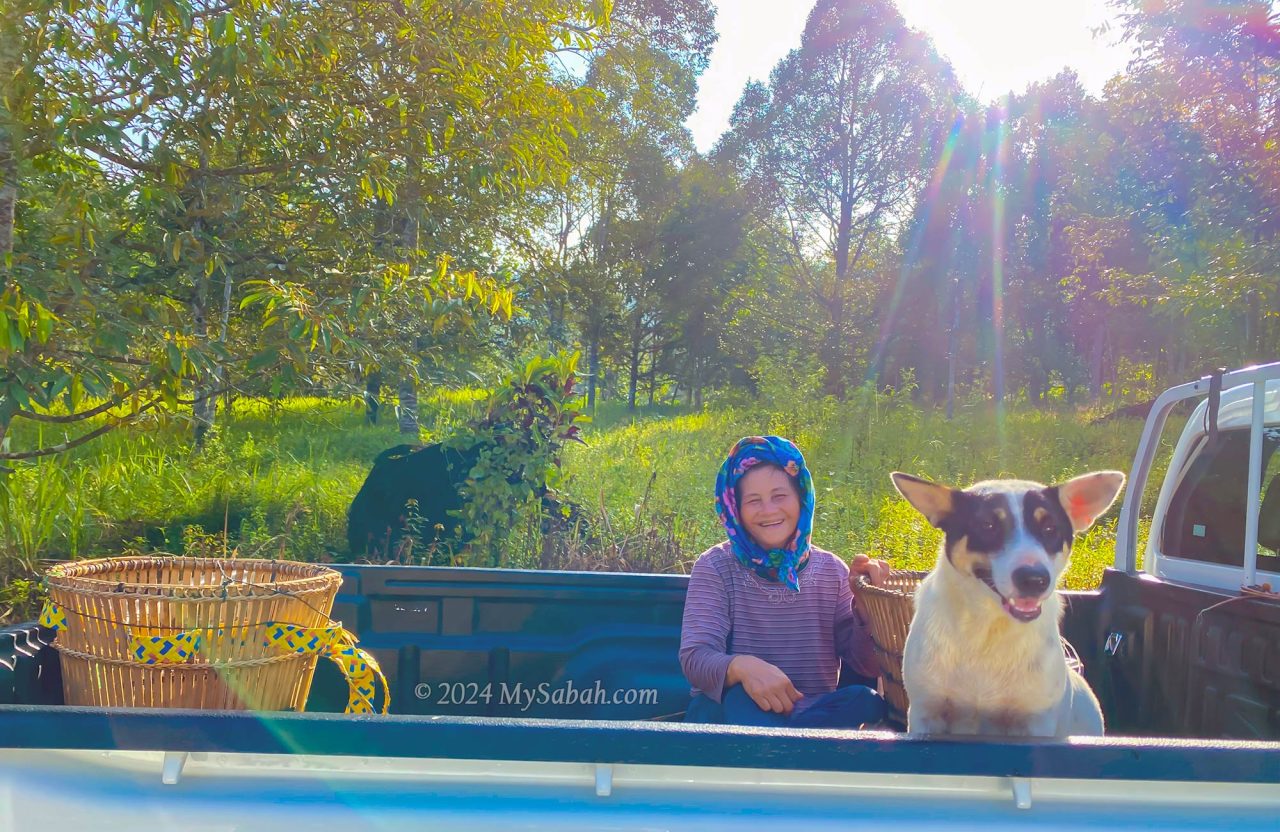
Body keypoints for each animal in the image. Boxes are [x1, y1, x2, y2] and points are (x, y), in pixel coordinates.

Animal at [896, 471, 1126, 737]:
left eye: (1050, 528)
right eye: (988, 525)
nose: (1034, 579)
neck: (988, 630)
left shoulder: (1035, 723)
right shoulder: (927, 713)